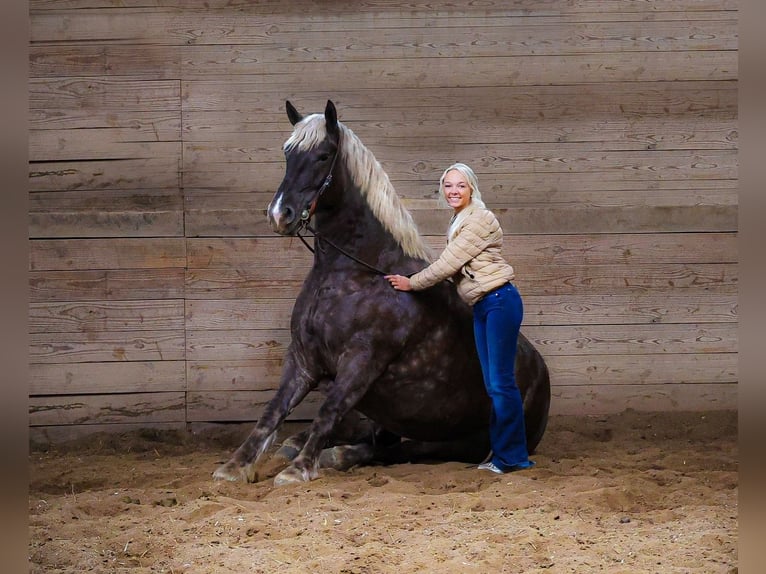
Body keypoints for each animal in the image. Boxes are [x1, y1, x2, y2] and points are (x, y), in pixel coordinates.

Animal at [214, 99, 552, 486]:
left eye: (323, 155)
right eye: (288, 152)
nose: (279, 214)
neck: (356, 273)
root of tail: (542, 377)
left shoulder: (362, 361)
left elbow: (329, 410)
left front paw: (298, 470)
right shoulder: (302, 358)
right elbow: (273, 410)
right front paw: (235, 466)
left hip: (456, 440)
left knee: (394, 449)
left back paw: (333, 454)